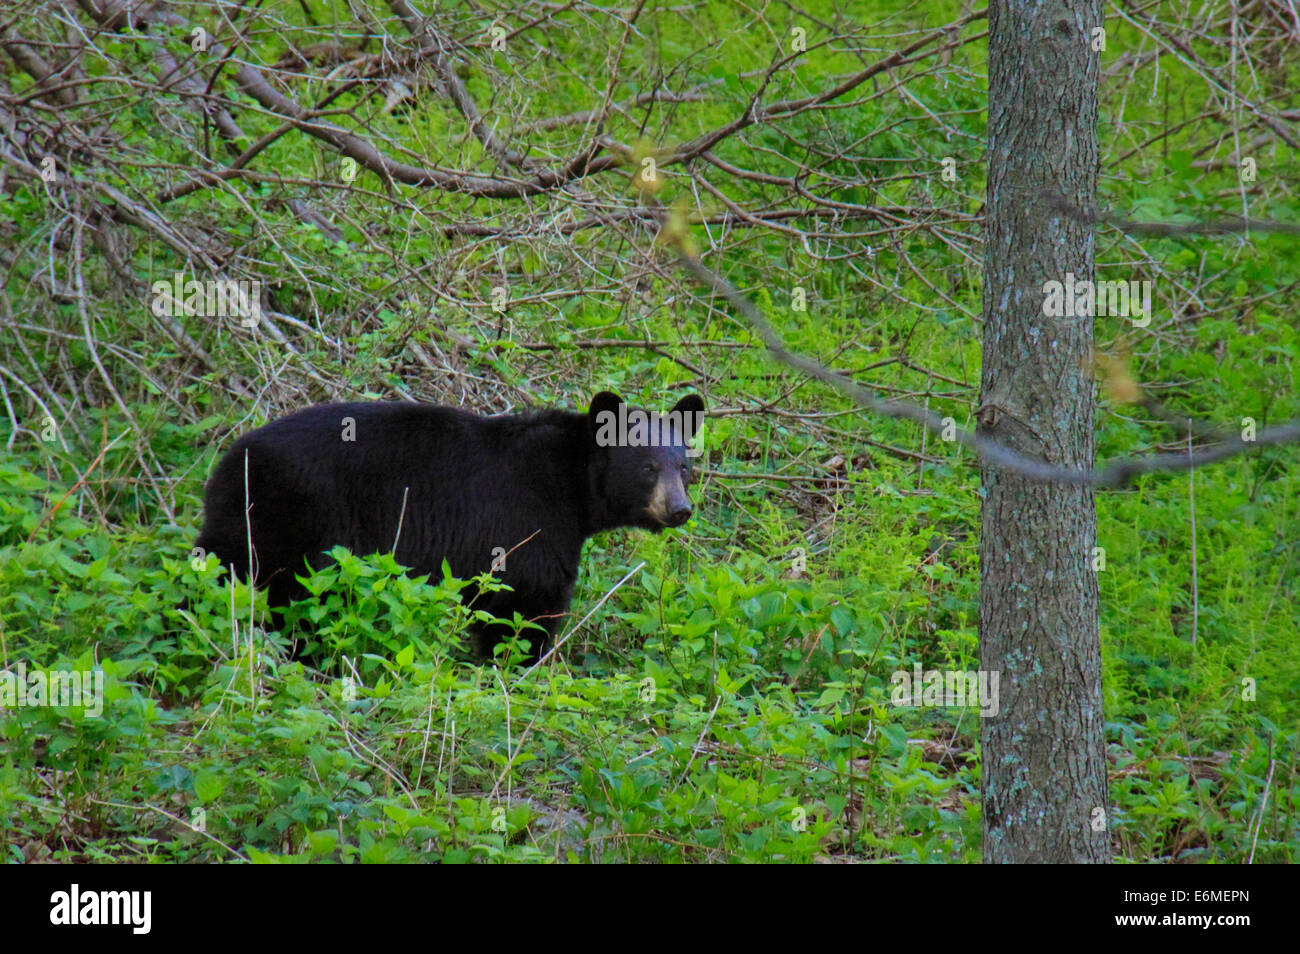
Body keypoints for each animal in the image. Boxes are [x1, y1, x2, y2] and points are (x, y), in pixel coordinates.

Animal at [195, 392, 702, 660]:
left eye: (684, 465)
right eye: (647, 468)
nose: (680, 509)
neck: (571, 482)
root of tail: (231, 457)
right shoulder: (527, 524)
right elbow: (525, 608)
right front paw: (518, 666)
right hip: (290, 516)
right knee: (273, 584)